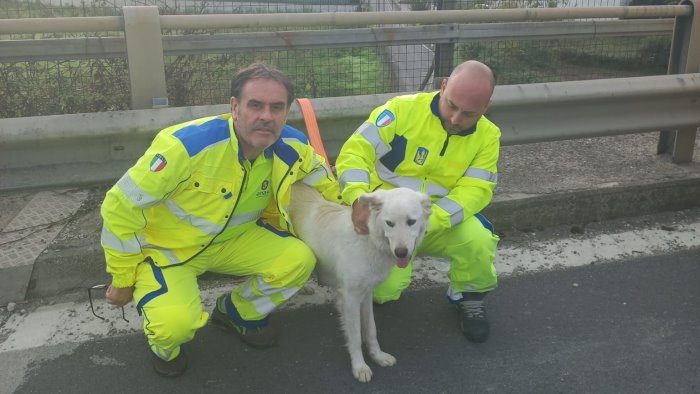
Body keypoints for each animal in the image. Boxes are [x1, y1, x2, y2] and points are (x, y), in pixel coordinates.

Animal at [286, 182, 430, 382]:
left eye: (411, 222)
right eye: (389, 223)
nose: (401, 253)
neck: (369, 240)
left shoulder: (366, 294)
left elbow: (371, 330)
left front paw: (378, 356)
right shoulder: (350, 299)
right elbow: (354, 337)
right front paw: (359, 366)